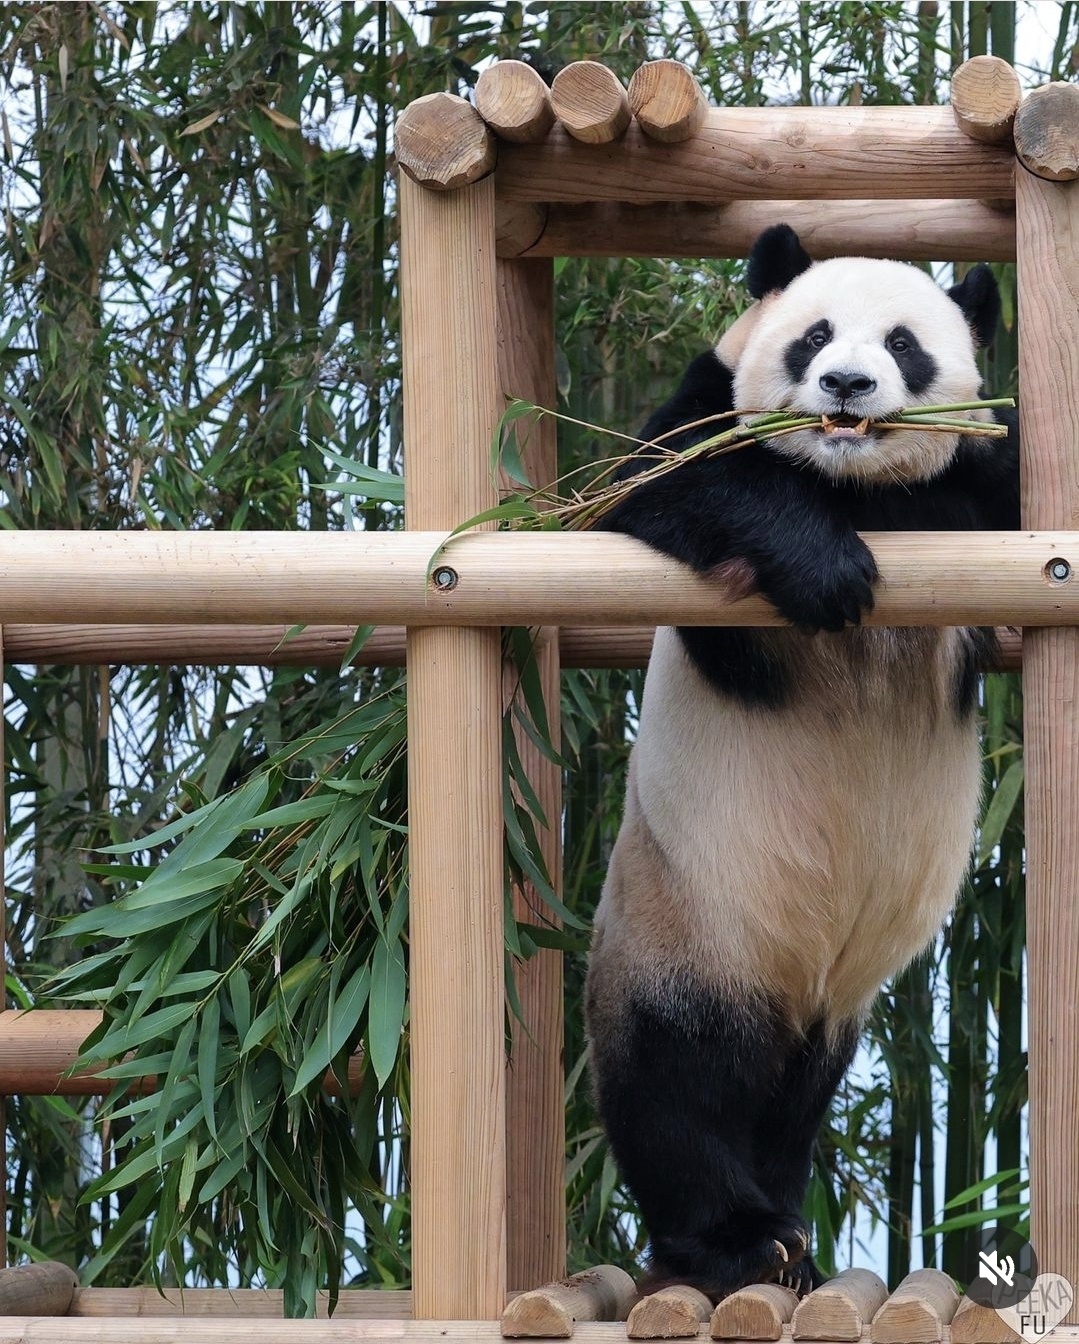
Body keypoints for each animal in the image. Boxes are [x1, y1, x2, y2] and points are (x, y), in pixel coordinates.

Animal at [585, 228, 1015, 1300]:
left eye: (903, 344)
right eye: (812, 334)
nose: (846, 383)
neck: (847, 479)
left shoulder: (982, 473)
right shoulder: (702, 417)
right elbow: (668, 477)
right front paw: (830, 571)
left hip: (831, 1012)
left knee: (792, 1106)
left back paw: (788, 1237)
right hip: (685, 924)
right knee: (674, 1085)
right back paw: (733, 1241)